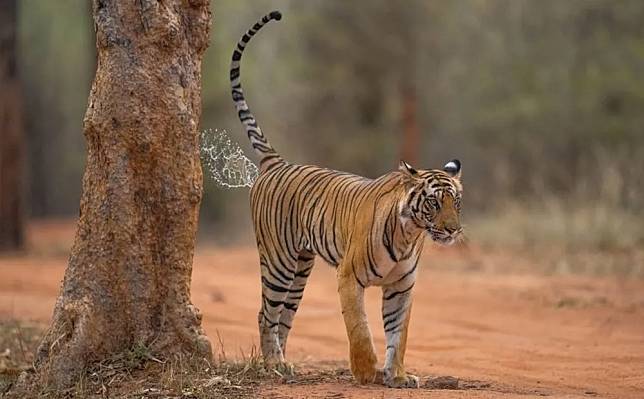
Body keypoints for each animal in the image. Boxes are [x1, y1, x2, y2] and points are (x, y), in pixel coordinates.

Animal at [230, 10, 462, 390]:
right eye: (433, 203)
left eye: (456, 202)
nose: (454, 230)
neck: (410, 233)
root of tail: (277, 162)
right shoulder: (349, 277)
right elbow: (360, 329)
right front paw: (368, 372)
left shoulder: (402, 286)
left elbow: (399, 334)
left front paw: (398, 375)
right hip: (278, 260)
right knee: (266, 312)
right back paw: (273, 365)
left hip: (301, 268)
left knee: (284, 317)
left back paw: (284, 364)